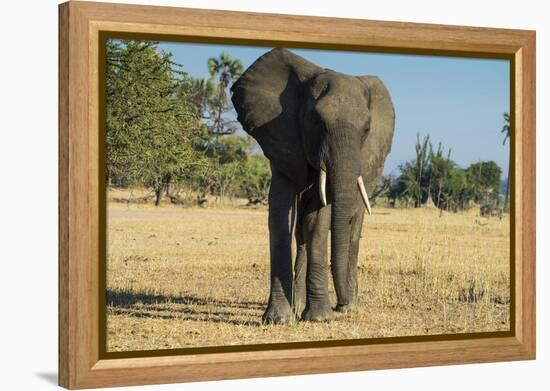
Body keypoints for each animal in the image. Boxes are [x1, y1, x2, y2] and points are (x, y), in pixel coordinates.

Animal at [231, 48, 394, 324]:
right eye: (316, 122)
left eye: (366, 129)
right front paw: (278, 319)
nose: (343, 305)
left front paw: (320, 318)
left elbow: (319, 220)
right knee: (300, 233)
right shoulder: (284, 141)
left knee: (347, 231)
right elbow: (281, 216)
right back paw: (299, 307)